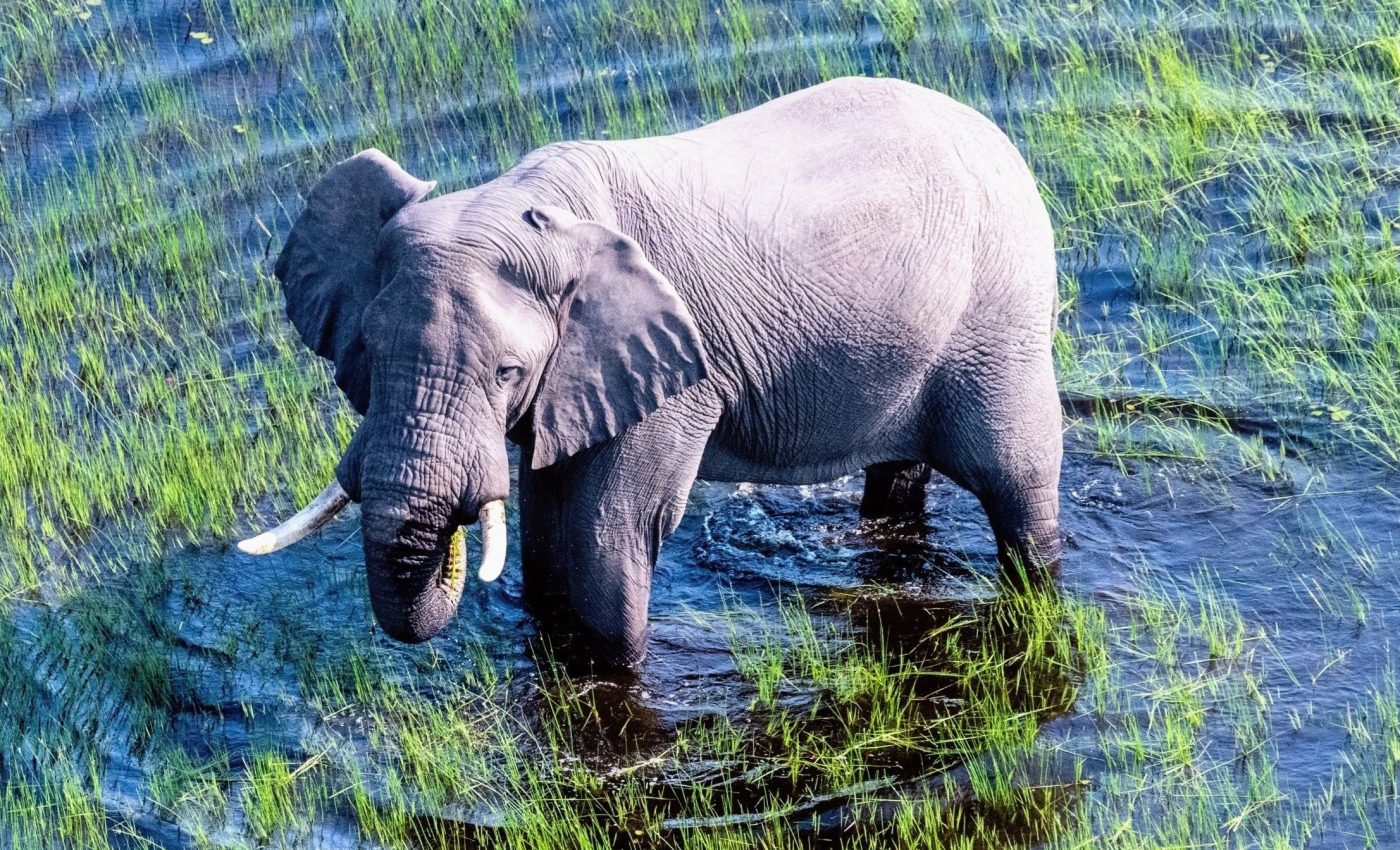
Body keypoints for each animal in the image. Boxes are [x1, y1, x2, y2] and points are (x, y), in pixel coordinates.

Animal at [237, 76, 1062, 668]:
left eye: (506, 371)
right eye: (368, 357)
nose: (451, 550)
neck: (526, 205)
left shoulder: (676, 375)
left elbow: (608, 534)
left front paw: (617, 672)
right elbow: (546, 530)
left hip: (1002, 314)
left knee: (1017, 481)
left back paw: (1038, 584)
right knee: (898, 477)